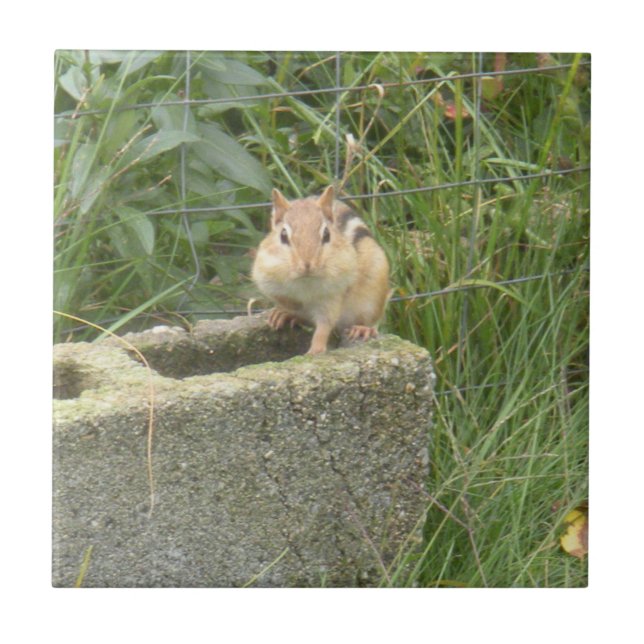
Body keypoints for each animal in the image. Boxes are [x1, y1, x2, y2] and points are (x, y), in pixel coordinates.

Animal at [252, 185, 390, 355]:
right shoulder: (267, 275)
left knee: (364, 321)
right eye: (283, 235)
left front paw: (315, 351)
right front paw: (287, 310)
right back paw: (286, 315)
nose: (307, 264)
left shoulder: (332, 295)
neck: (305, 282)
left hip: (372, 299)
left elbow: (325, 324)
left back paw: (362, 329)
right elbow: (286, 300)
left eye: (326, 234)